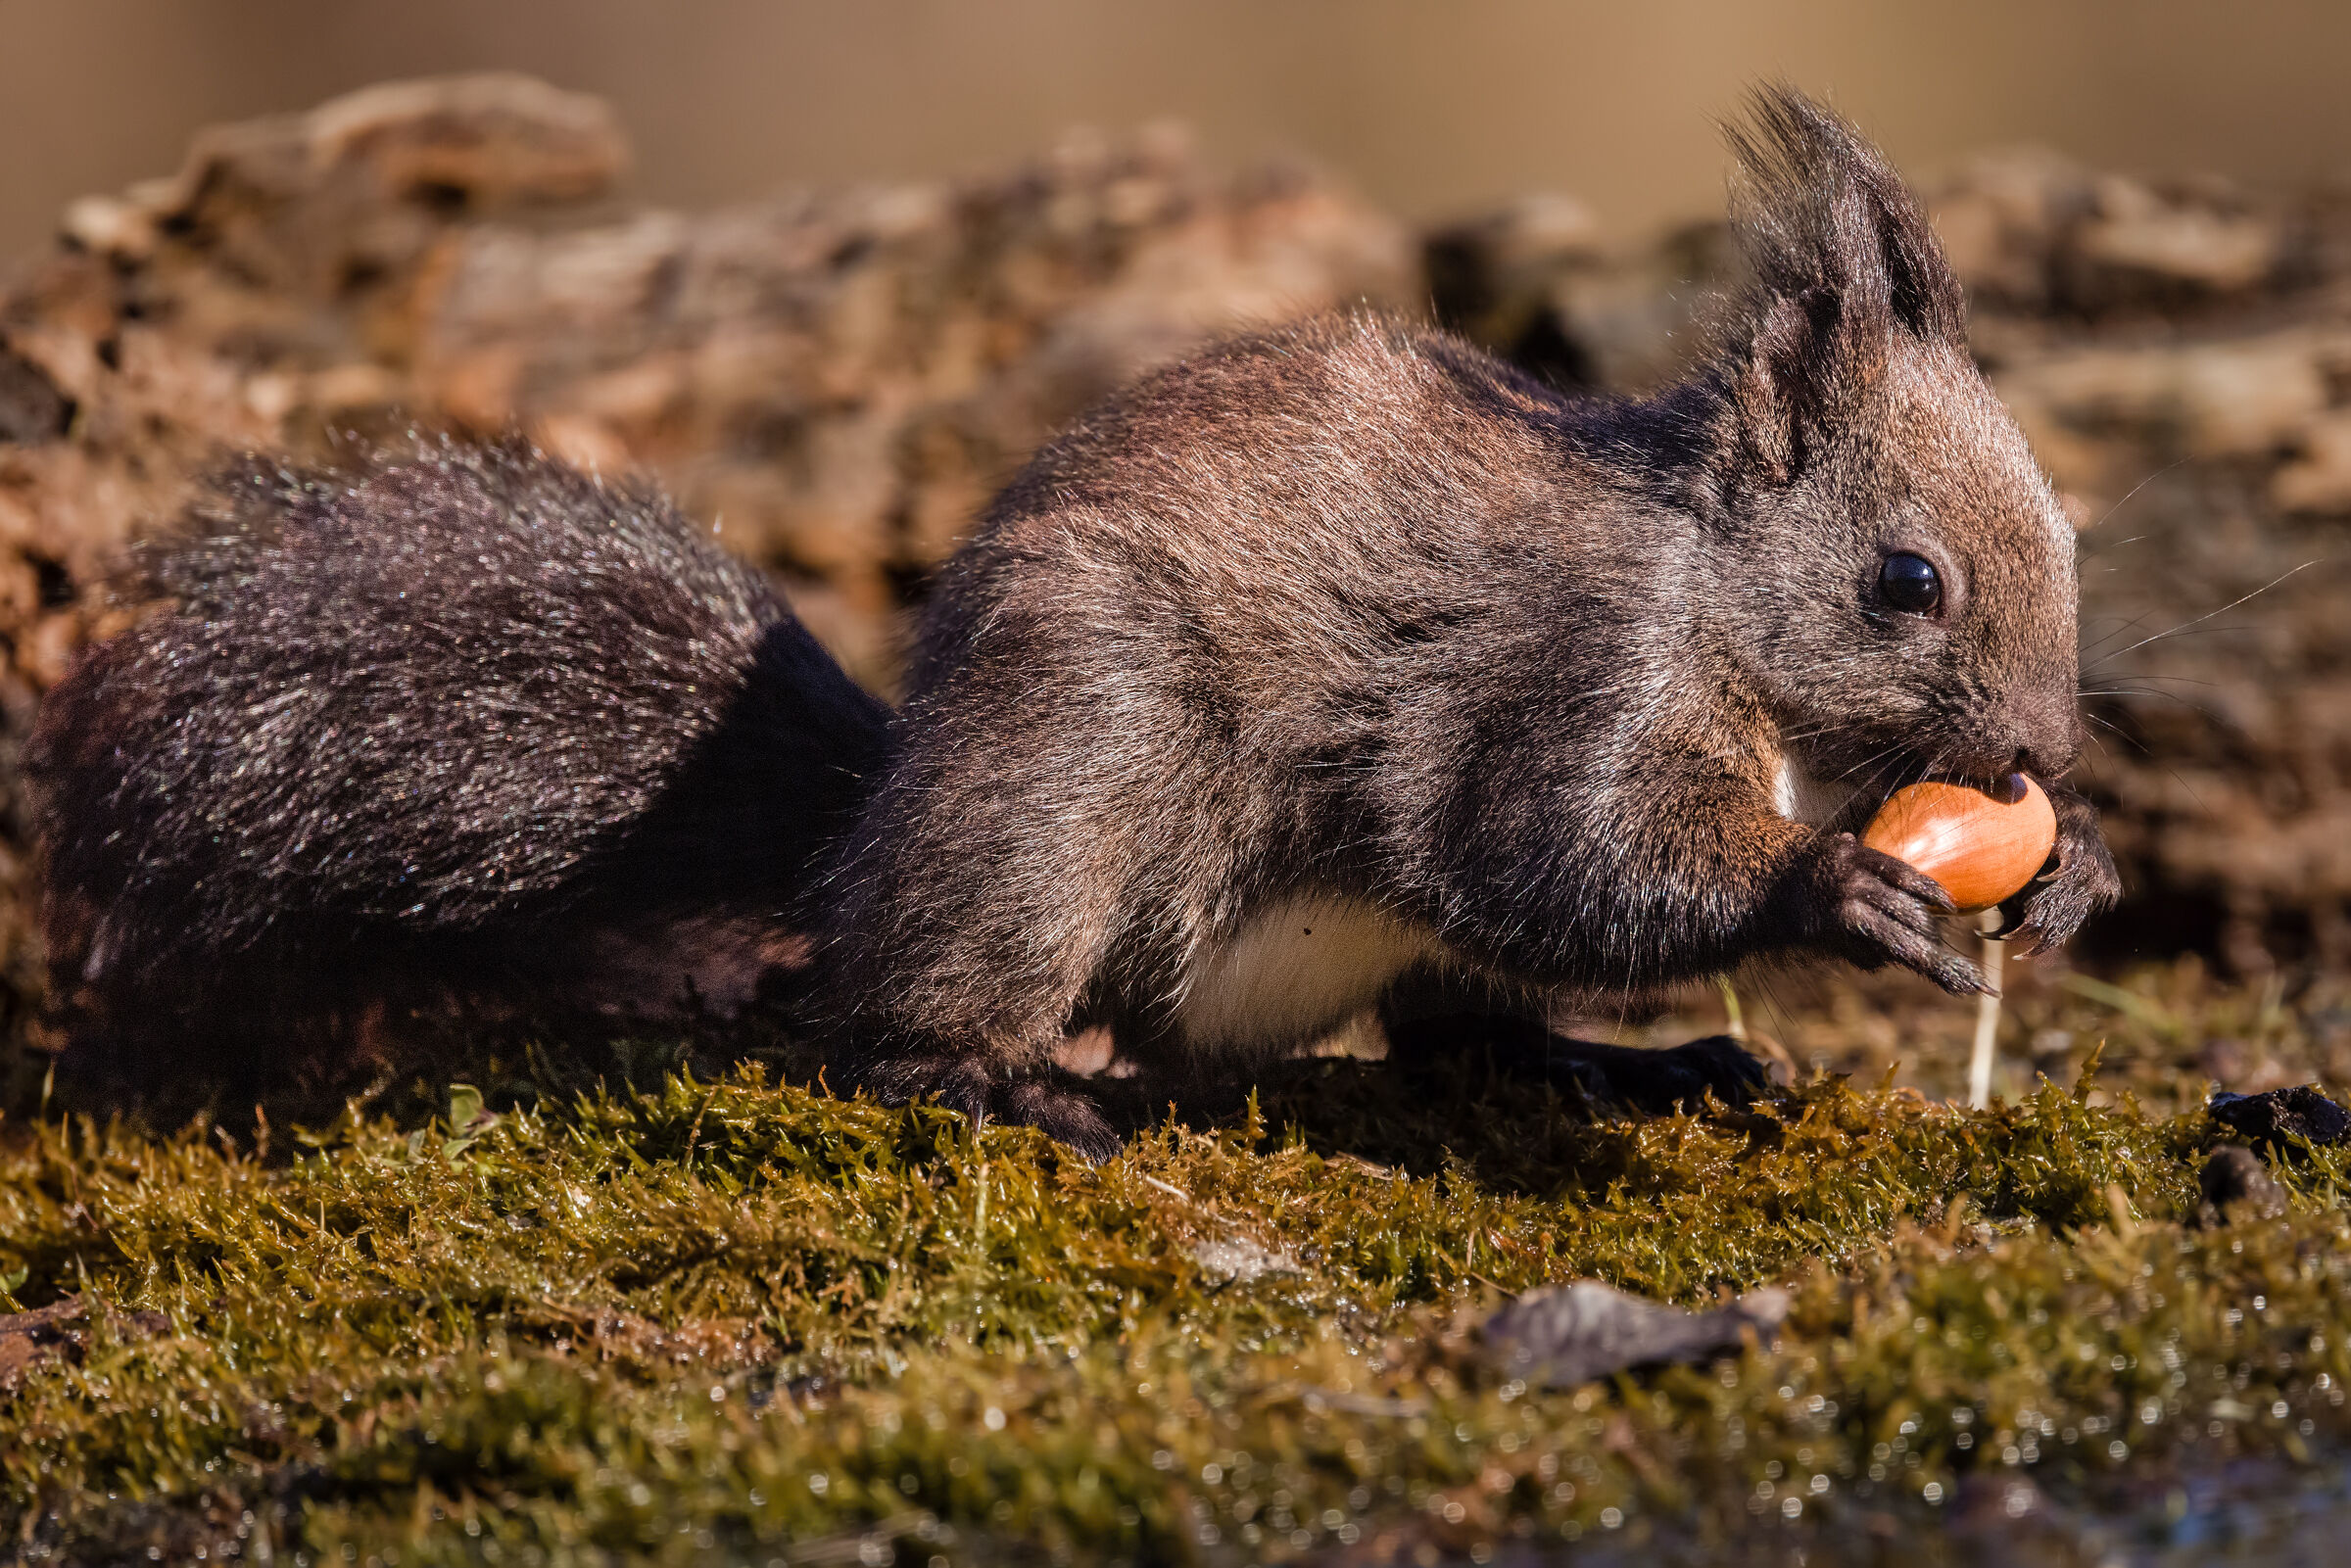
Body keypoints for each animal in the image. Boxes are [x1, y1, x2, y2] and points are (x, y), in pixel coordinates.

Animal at [25, 90, 2118, 1153]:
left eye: (2075, 549)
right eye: (1907, 579)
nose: (2036, 751)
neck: (1757, 665)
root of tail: (871, 819)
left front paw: (2077, 869)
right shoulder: (1559, 674)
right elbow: (1548, 849)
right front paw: (1831, 893)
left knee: (1457, 1031)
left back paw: (1620, 1062)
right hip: (1069, 777)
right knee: (886, 1006)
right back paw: (1005, 1077)